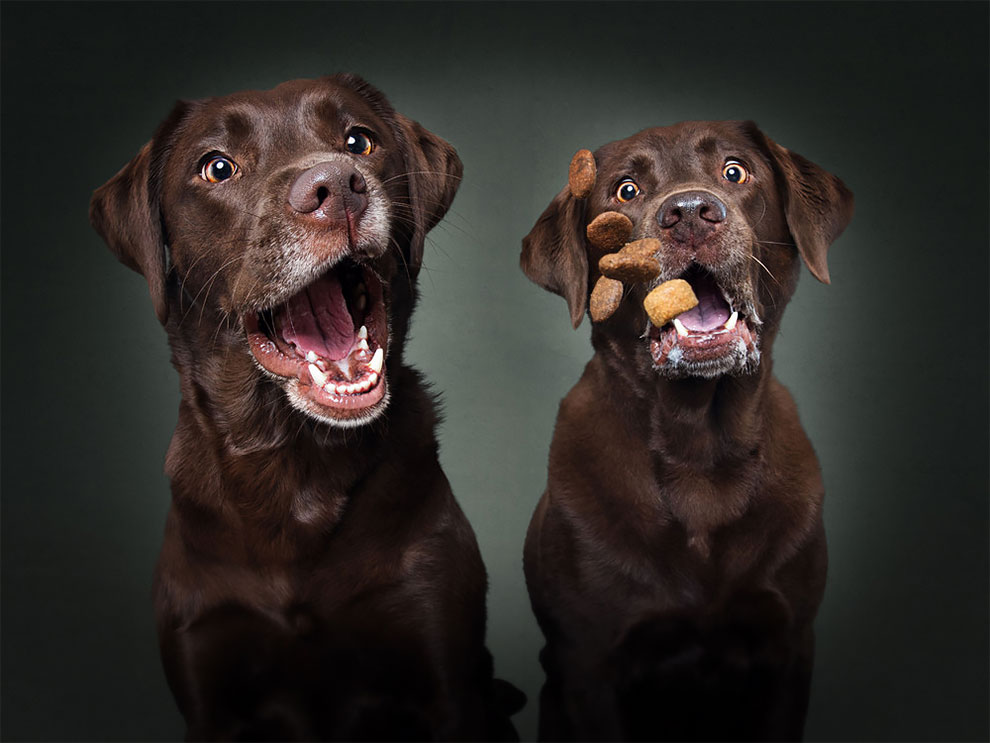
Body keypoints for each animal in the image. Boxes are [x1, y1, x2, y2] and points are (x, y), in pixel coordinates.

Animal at [90, 77, 524, 743]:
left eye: (359, 141)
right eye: (217, 167)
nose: (336, 187)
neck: (294, 461)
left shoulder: (441, 666)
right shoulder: (208, 680)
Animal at [524, 119, 856, 740]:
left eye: (735, 171)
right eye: (626, 190)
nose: (691, 213)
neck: (702, 451)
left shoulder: (788, 650)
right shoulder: (589, 665)